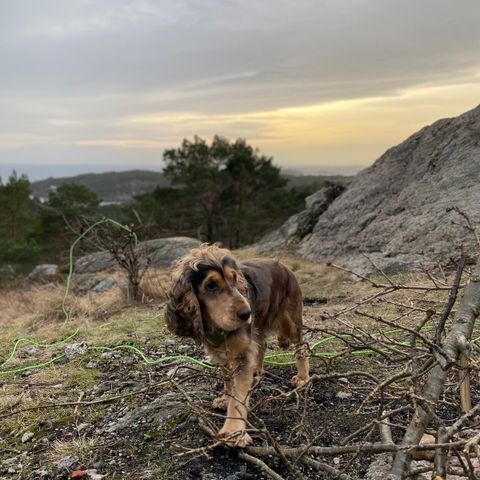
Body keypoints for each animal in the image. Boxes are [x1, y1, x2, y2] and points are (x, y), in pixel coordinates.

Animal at [163, 246, 310, 448]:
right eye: (211, 285)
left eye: (234, 278)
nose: (247, 313)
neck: (217, 327)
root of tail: (285, 267)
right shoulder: (220, 352)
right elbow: (227, 378)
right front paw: (226, 398)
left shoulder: (241, 354)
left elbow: (238, 396)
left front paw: (233, 431)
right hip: (259, 323)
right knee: (262, 343)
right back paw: (256, 369)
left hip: (290, 320)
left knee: (301, 345)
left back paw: (303, 377)